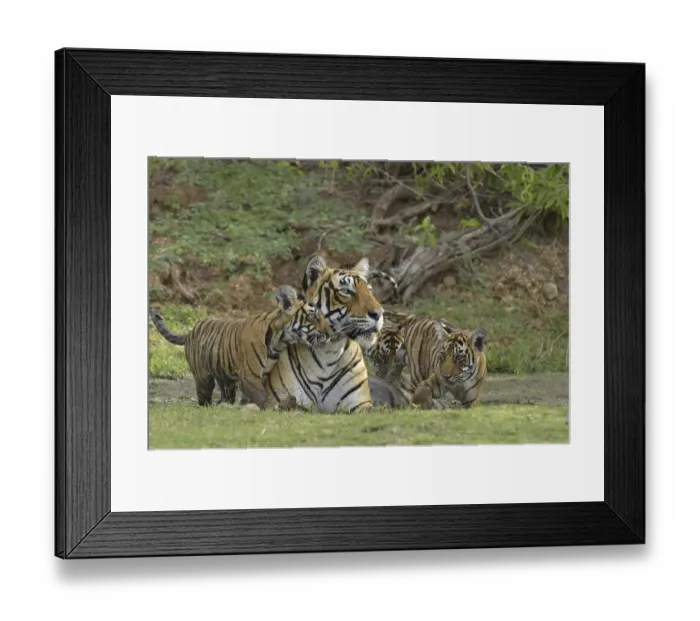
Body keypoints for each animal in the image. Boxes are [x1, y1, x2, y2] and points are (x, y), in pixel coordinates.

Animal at [150, 285, 332, 406]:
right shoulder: (249, 377)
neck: (279, 340)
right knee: (204, 399)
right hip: (203, 378)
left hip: (225, 377)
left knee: (225, 396)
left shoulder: (261, 375)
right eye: (313, 316)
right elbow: (262, 398)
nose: (330, 332)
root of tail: (189, 332)